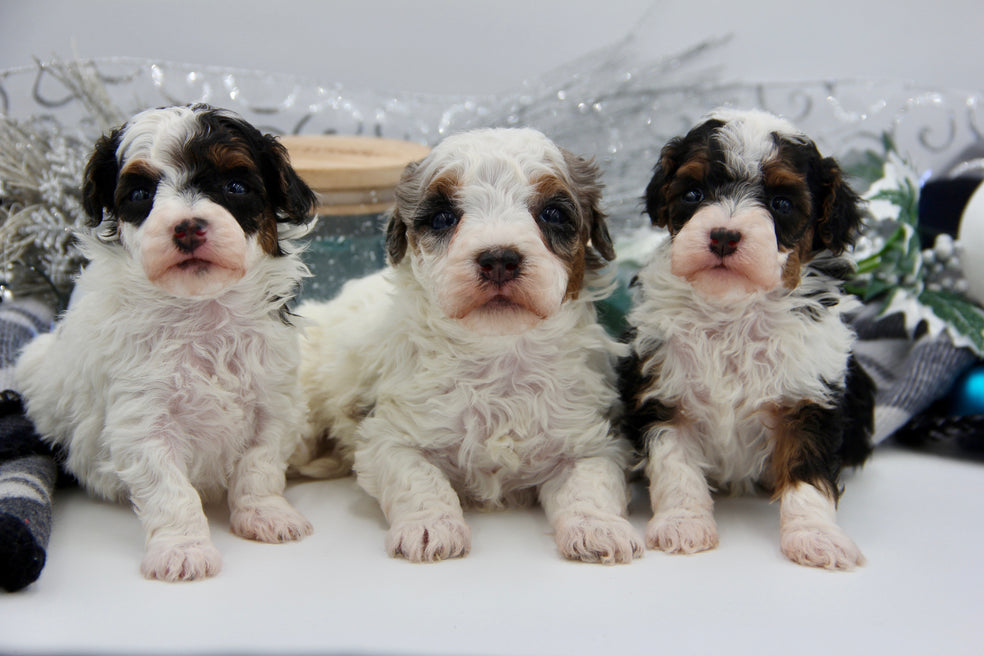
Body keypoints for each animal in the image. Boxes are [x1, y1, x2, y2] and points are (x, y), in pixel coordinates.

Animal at [15, 105, 318, 580]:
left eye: (235, 186)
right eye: (140, 193)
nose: (188, 227)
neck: (202, 312)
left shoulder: (273, 400)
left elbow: (260, 465)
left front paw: (266, 514)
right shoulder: (143, 419)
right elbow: (171, 491)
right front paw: (183, 549)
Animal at [292, 127, 644, 564]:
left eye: (552, 214)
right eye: (444, 218)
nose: (499, 259)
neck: (498, 356)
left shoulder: (594, 439)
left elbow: (590, 483)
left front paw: (599, 527)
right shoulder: (390, 436)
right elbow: (420, 479)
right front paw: (431, 527)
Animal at [624, 107, 876, 568]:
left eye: (781, 203)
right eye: (693, 193)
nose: (723, 235)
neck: (732, 312)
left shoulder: (809, 395)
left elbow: (808, 472)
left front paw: (816, 537)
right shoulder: (664, 391)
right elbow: (675, 464)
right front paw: (683, 523)